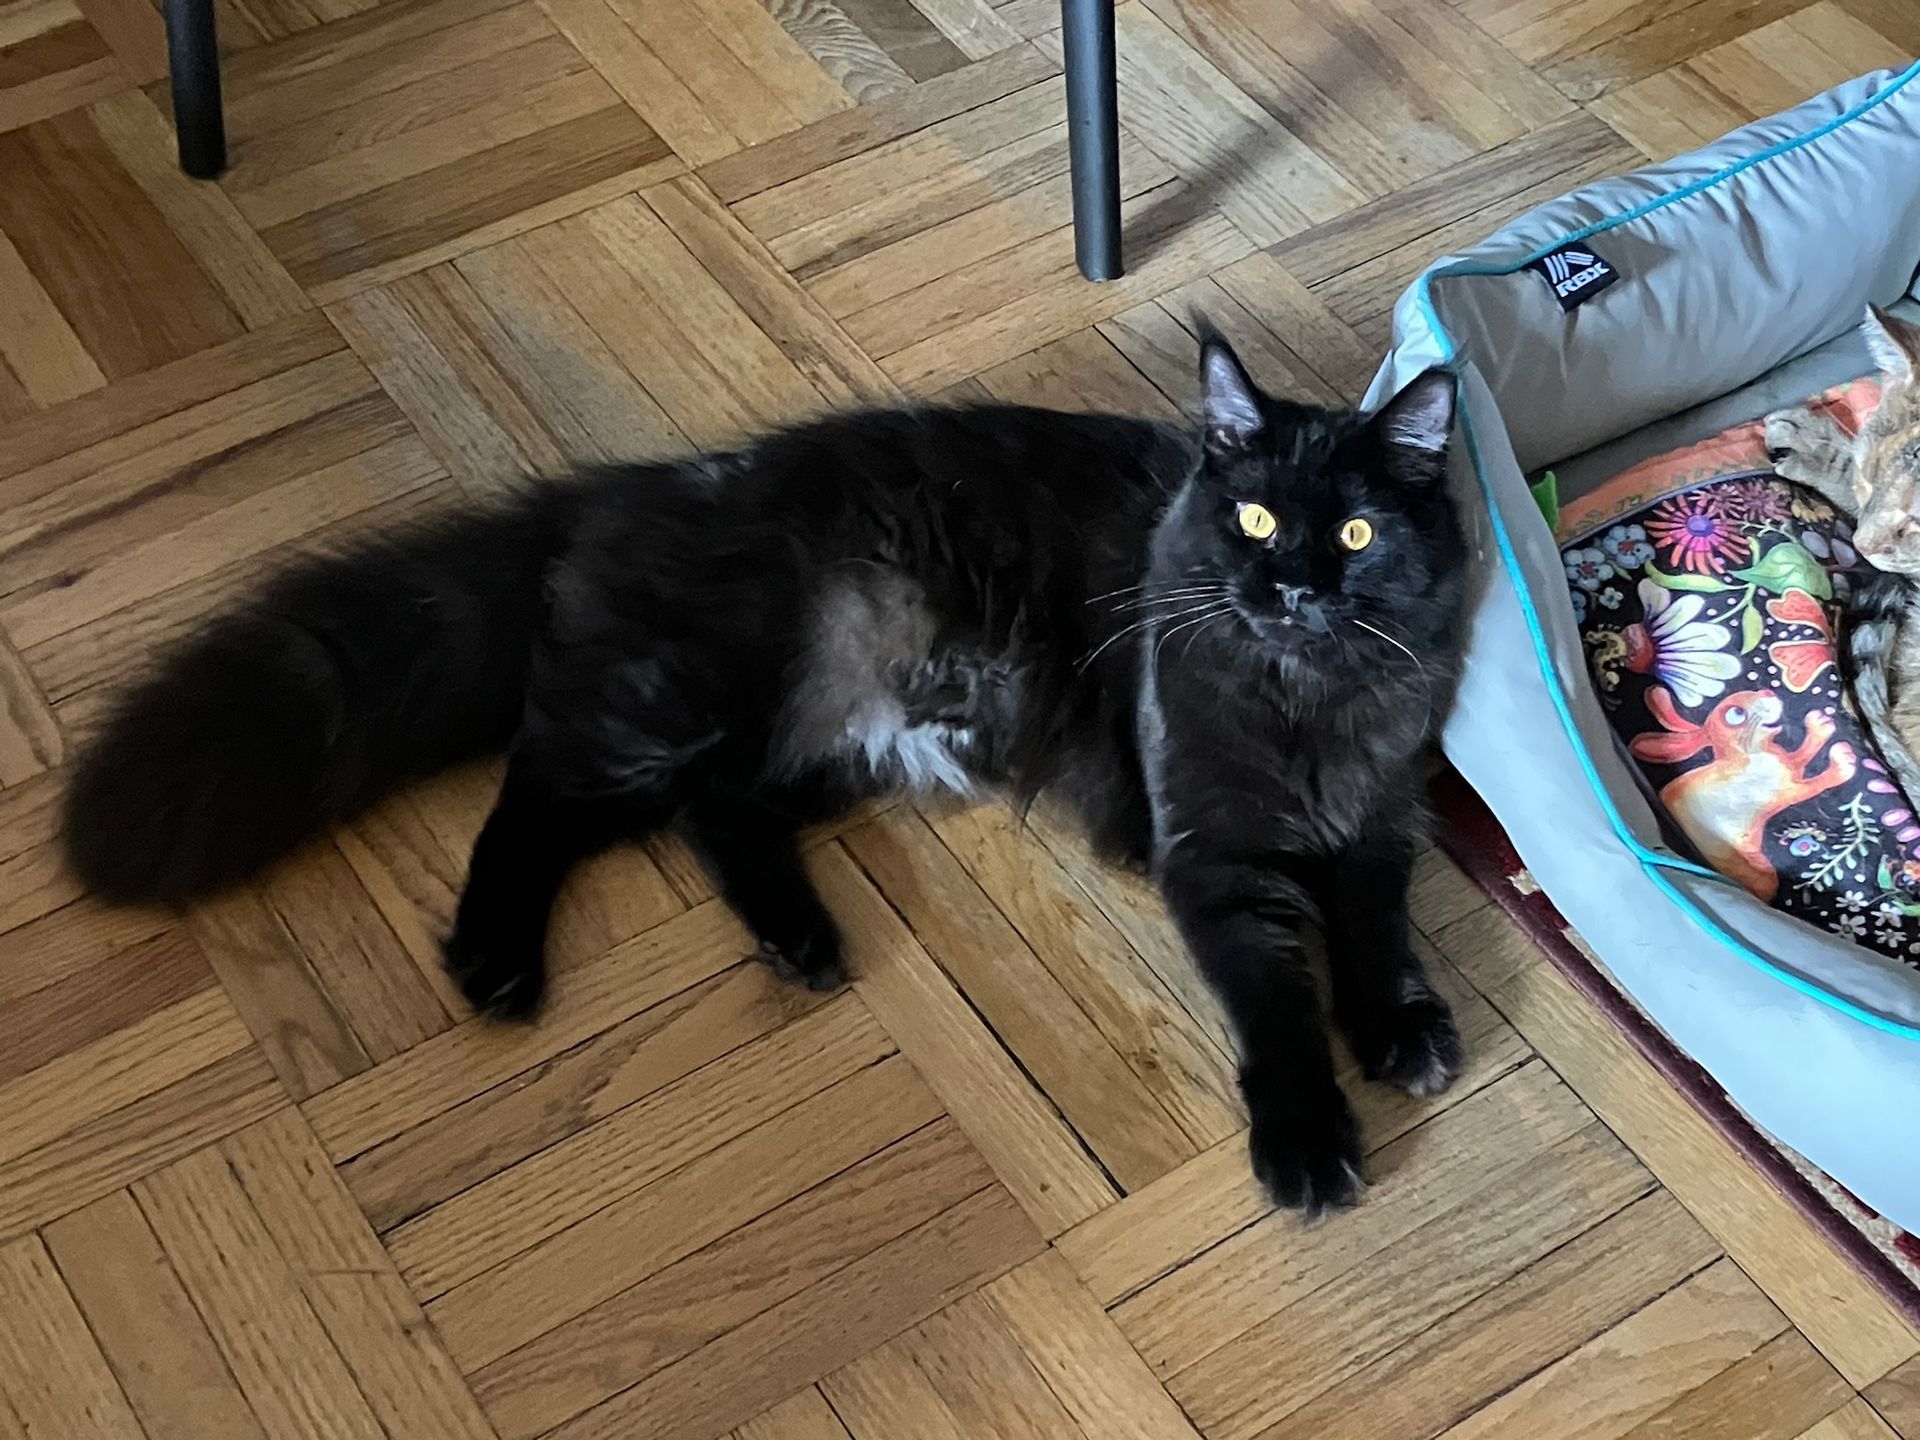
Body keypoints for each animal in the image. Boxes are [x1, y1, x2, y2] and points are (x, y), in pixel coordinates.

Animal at [63, 336, 1467, 1215]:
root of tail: (631, 491)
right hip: (681, 703)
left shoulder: (1380, 820)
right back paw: (498, 965)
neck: (1306, 700)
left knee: (713, 815)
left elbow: (1376, 932)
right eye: (1253, 520)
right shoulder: (1213, 856)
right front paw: (1309, 1143)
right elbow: (1278, 1004)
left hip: (832, 744)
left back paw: (800, 942)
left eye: (1354, 532)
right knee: (539, 795)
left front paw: (1402, 1028)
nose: (1289, 589)